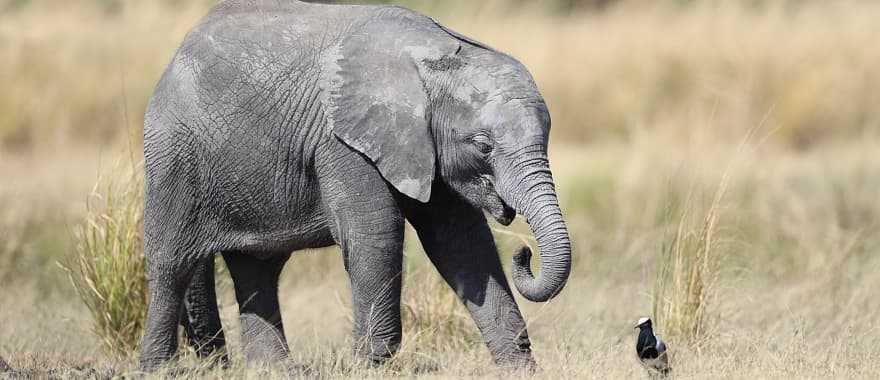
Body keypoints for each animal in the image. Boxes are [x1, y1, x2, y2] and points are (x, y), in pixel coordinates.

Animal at [141, 0, 576, 372]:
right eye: (484, 146)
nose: (524, 252)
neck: (435, 57)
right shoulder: (341, 142)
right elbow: (377, 233)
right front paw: (371, 365)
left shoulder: (424, 147)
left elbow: (463, 243)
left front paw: (519, 367)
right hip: (174, 156)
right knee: (172, 261)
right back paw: (159, 369)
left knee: (258, 266)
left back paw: (274, 370)